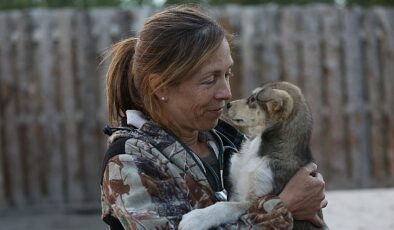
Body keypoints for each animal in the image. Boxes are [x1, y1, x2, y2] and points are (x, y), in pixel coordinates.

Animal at [180, 81, 328, 230]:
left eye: (252, 100)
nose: (227, 104)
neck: (255, 150)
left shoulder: (258, 198)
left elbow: (226, 206)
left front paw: (196, 218)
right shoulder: (235, 189)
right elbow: (228, 202)